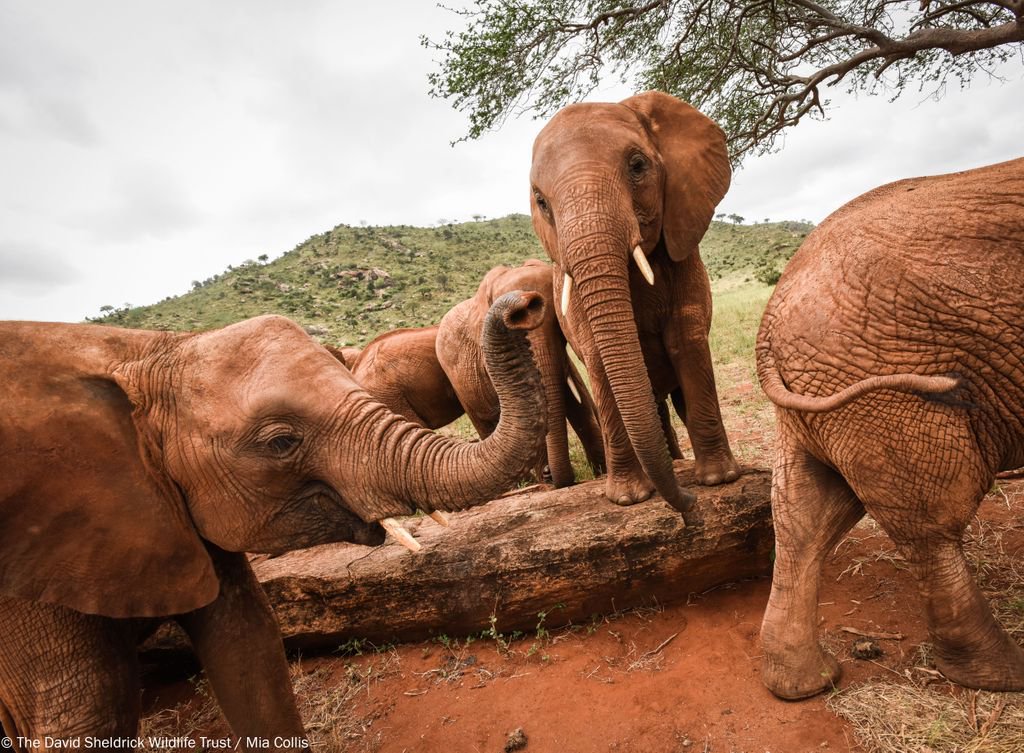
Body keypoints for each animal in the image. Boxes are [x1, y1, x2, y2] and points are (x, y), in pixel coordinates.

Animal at [529, 90, 740, 517]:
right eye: (541, 201)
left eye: (638, 166)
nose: (688, 503)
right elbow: (599, 361)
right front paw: (628, 498)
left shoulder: (682, 246)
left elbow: (686, 340)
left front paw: (718, 480)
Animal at [755, 156, 1024, 699]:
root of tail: (768, 326)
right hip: (884, 388)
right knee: (933, 523)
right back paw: (1004, 676)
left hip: (826, 393)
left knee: (804, 512)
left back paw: (806, 684)